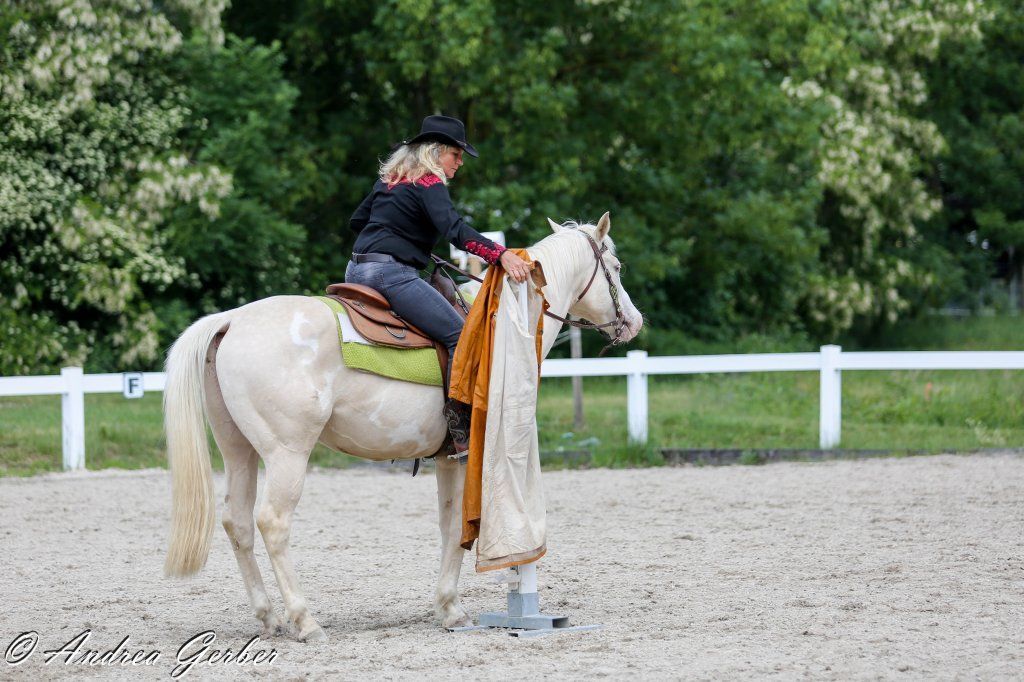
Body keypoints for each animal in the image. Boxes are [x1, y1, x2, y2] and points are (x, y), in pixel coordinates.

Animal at [162, 213, 643, 641]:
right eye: (616, 267)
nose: (634, 321)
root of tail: (231, 320)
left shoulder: (449, 460)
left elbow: (450, 527)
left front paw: (448, 609)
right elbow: (461, 530)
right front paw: (457, 607)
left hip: (238, 450)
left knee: (237, 523)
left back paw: (268, 618)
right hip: (287, 455)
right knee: (272, 523)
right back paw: (305, 621)